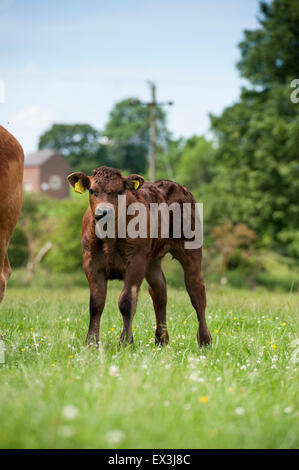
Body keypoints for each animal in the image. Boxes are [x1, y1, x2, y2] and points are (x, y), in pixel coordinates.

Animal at [68, 165, 211, 346]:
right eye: (92, 190)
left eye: (120, 191)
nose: (104, 211)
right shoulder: (91, 262)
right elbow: (96, 303)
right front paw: (91, 343)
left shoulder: (136, 262)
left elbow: (127, 302)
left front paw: (126, 342)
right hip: (152, 261)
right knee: (159, 292)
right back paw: (161, 340)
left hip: (191, 248)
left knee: (196, 290)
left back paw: (205, 340)